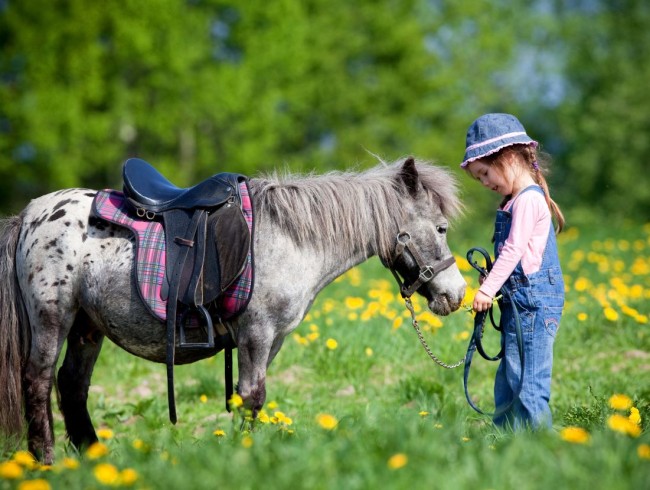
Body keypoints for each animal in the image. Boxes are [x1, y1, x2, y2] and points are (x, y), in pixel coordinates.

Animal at [0, 156, 466, 464]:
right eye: (441, 228)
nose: (457, 294)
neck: (290, 239)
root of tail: (30, 215)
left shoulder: (271, 341)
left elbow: (248, 399)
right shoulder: (255, 333)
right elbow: (252, 396)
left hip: (87, 326)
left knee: (72, 386)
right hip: (52, 319)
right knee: (38, 382)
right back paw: (46, 462)